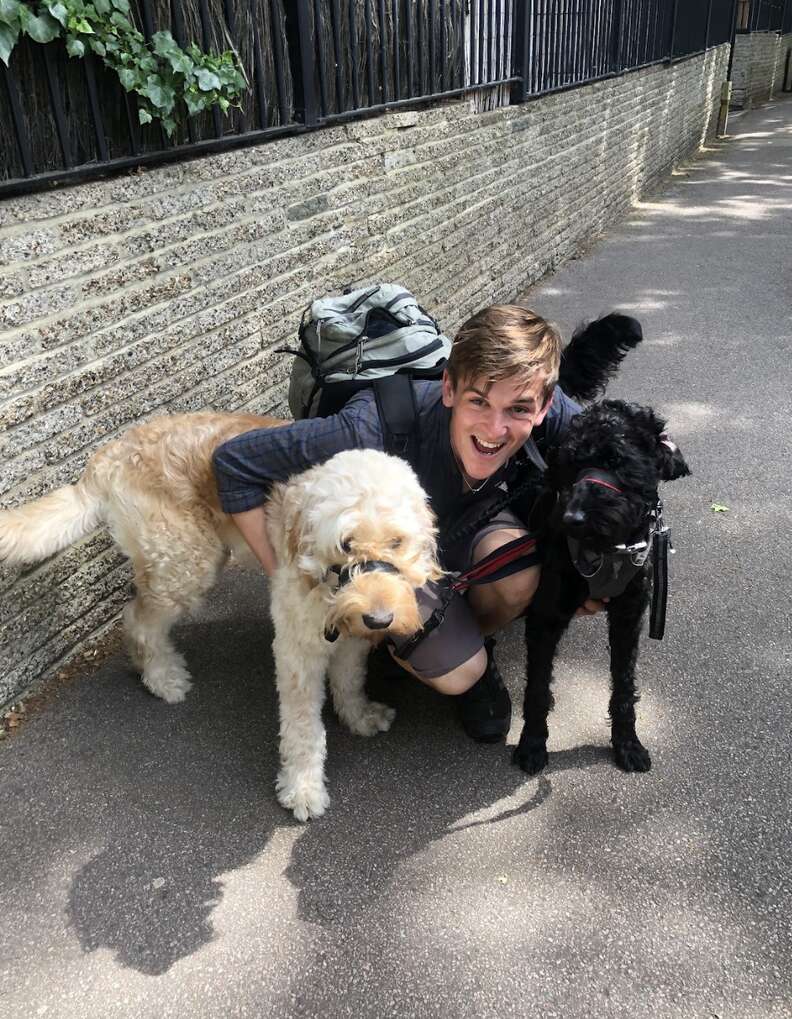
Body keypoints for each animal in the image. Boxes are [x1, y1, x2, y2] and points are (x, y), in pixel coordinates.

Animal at [0, 413, 438, 819]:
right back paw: (162, 678)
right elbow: (302, 726)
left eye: (396, 542)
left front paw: (358, 716)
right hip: (186, 564)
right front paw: (302, 788)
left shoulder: (349, 638)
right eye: (345, 544)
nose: (380, 619)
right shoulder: (297, 649)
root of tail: (114, 451)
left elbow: (348, 680)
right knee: (137, 618)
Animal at [513, 395, 684, 770]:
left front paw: (627, 742)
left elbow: (623, 684)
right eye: (571, 465)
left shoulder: (629, 615)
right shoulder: (546, 615)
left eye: (616, 460)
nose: (572, 519)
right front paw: (532, 743)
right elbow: (537, 688)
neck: (609, 550)